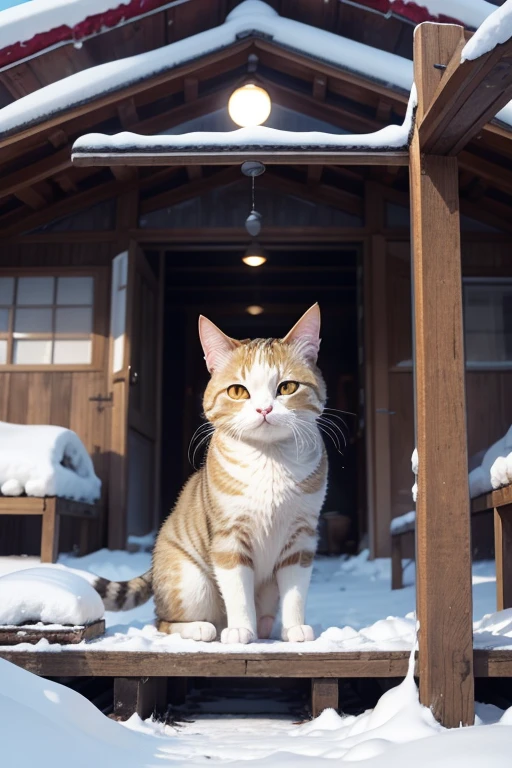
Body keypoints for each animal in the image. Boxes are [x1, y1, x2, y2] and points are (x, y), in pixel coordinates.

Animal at [94, 304, 328, 644]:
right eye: (238, 391)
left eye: (287, 387)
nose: (264, 410)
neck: (269, 461)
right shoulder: (228, 538)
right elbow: (238, 592)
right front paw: (242, 630)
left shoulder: (301, 537)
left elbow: (295, 591)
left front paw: (294, 628)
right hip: (192, 582)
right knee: (162, 620)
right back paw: (204, 628)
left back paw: (266, 626)